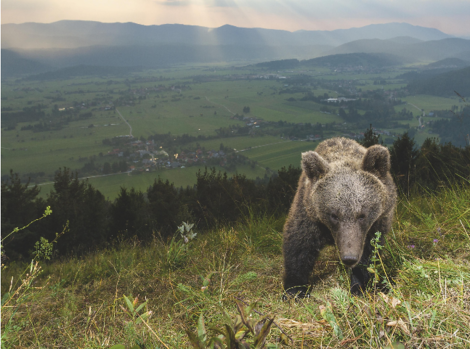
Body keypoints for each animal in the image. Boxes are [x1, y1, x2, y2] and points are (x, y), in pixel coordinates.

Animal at [282, 136, 396, 296]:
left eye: (362, 215)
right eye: (334, 215)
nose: (349, 258)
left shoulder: (376, 223)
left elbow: (368, 252)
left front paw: (358, 285)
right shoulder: (309, 214)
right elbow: (299, 245)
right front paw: (295, 289)